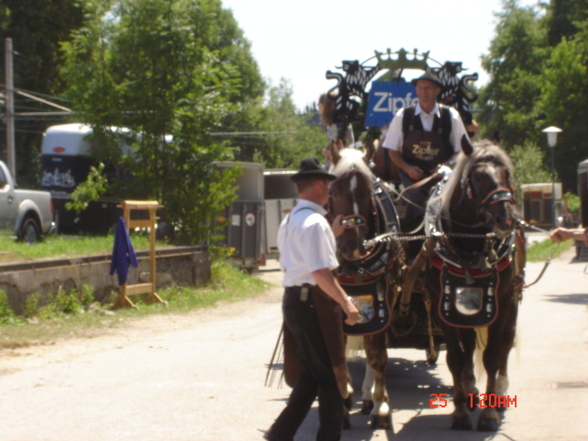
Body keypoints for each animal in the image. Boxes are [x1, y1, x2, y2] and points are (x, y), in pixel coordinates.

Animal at [412, 138, 524, 430]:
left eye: (507, 173)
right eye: (479, 177)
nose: (506, 218)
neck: (470, 247)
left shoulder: (502, 301)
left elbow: (493, 355)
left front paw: (489, 414)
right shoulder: (444, 306)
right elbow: (456, 358)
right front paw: (461, 411)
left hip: (512, 300)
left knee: (506, 342)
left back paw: (500, 392)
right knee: (470, 344)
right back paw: (471, 391)